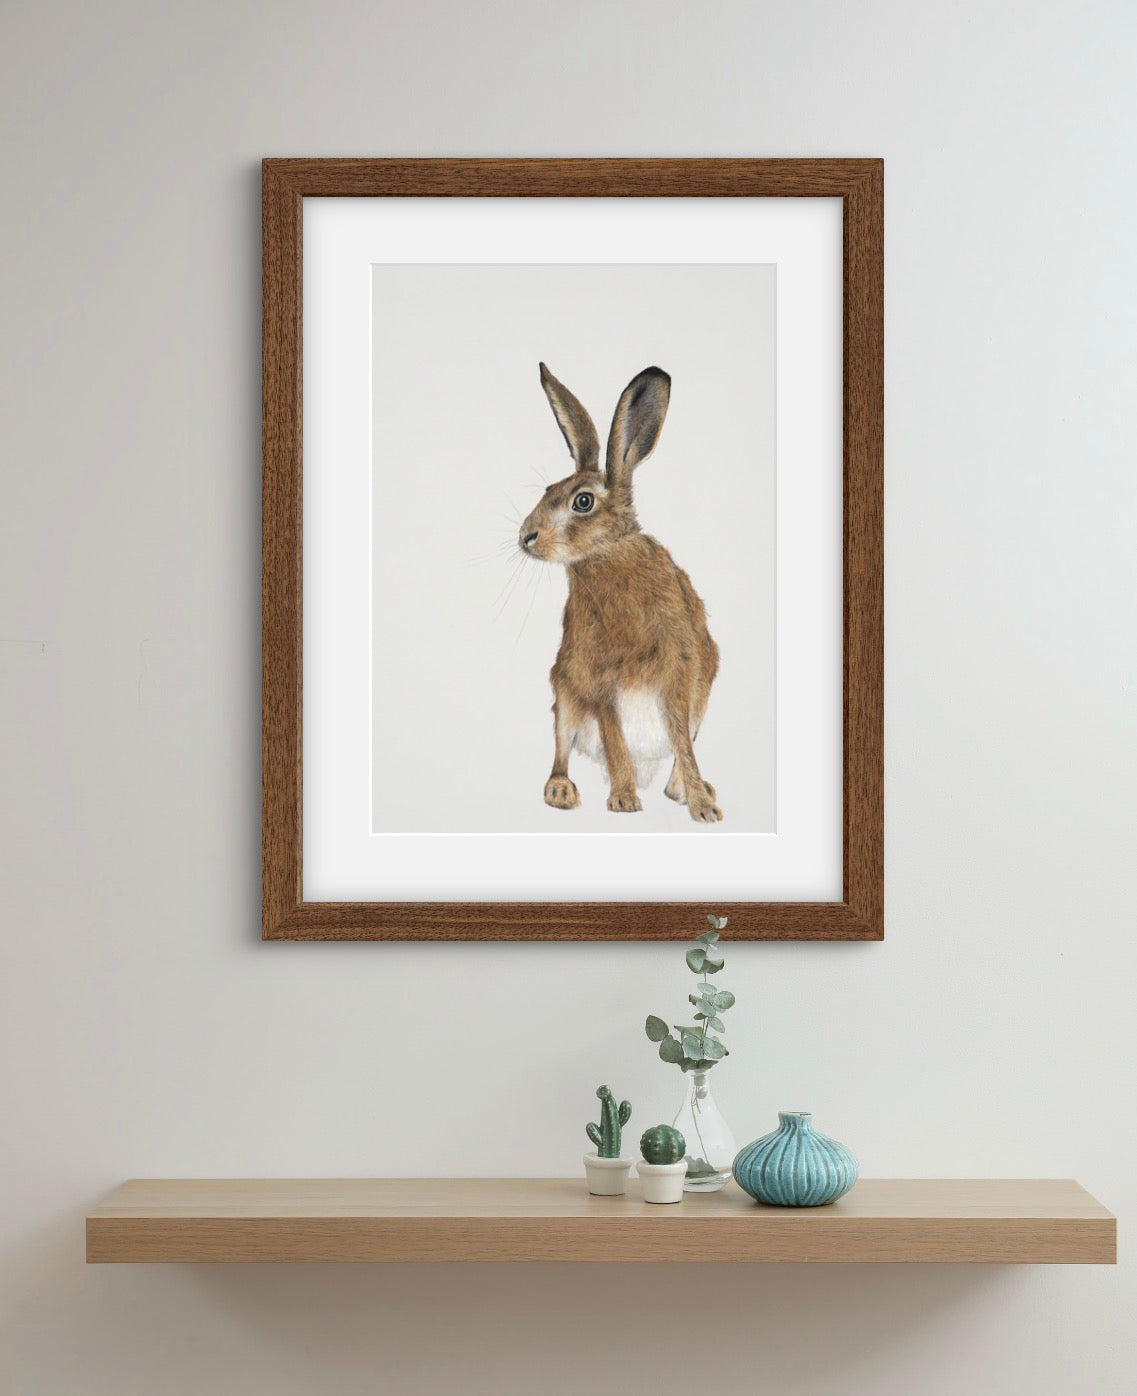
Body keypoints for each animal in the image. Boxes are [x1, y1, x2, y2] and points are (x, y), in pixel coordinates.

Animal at [519, 363, 722, 823]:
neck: (607, 554)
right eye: (546, 491)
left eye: (582, 502)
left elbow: (683, 744)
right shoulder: (598, 681)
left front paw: (704, 809)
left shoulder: (681, 669)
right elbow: (615, 743)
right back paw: (561, 790)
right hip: (564, 696)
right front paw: (625, 800)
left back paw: (690, 789)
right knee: (562, 749)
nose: (526, 537)